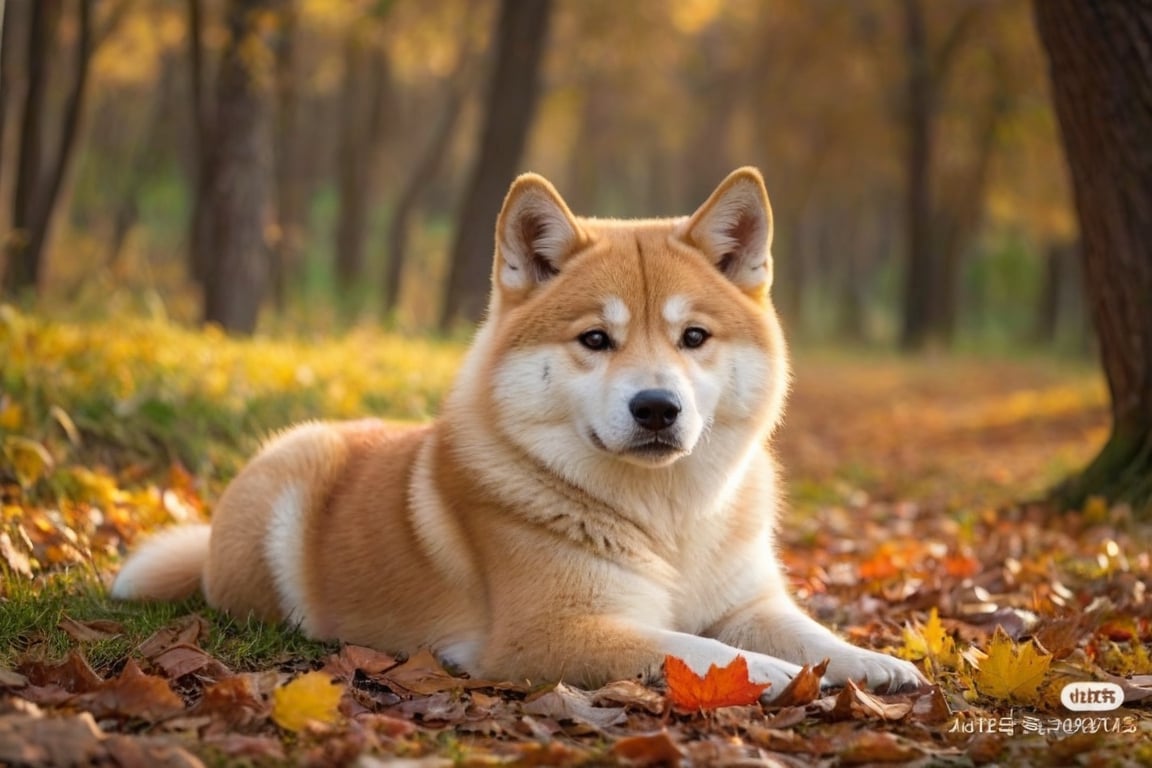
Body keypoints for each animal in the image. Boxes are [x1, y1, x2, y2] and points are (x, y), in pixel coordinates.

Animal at [112, 168, 921, 695]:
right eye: (595, 340)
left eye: (693, 337)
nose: (657, 407)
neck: (668, 522)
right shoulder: (555, 633)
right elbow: (697, 651)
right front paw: (783, 675)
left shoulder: (747, 604)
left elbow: (806, 631)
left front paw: (872, 661)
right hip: (292, 487)